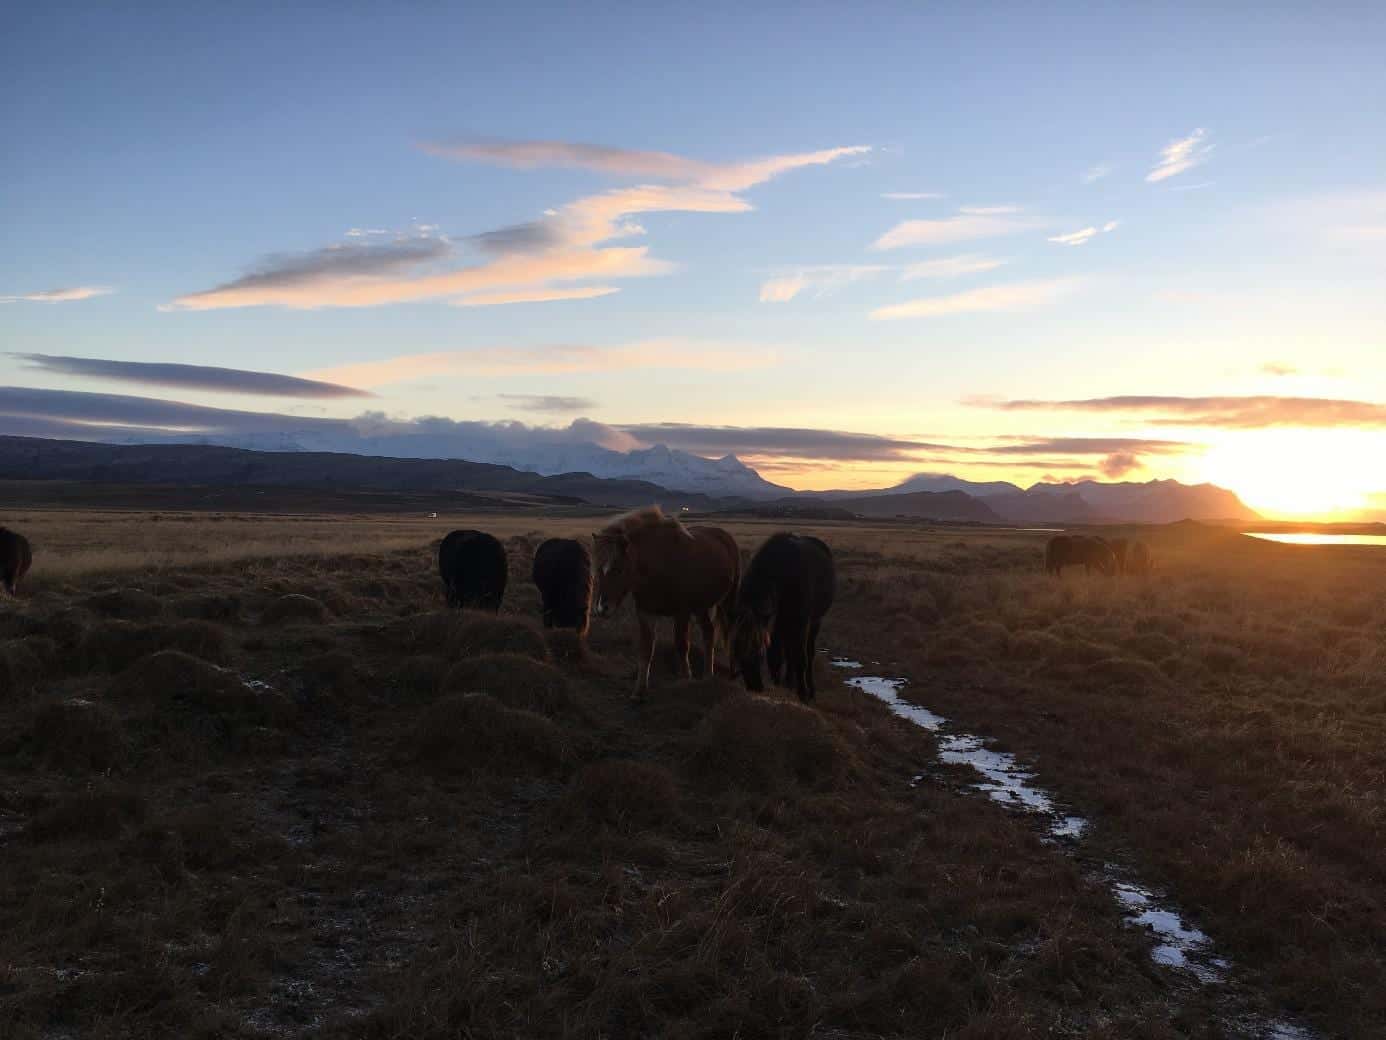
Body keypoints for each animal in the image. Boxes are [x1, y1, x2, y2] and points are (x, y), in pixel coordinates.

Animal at [592, 506, 740, 697]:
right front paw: (639, 691)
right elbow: (646, 649)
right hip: (701, 607)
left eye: (618, 569)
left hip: (727, 601)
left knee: (731, 632)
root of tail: (724, 535)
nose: (602, 608)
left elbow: (681, 645)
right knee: (709, 633)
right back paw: (708, 675)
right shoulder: (645, 612)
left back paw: (731, 673)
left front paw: (686, 679)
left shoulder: (682, 612)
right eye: (597, 569)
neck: (658, 566)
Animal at [731, 533, 835, 702]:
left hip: (814, 622)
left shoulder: (801, 623)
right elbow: (777, 657)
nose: (754, 685)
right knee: (789, 652)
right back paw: (789, 682)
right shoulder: (776, 624)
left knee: (808, 653)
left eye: (759, 651)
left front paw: (803, 693)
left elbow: (800, 658)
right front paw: (779, 684)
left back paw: (810, 689)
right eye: (737, 650)